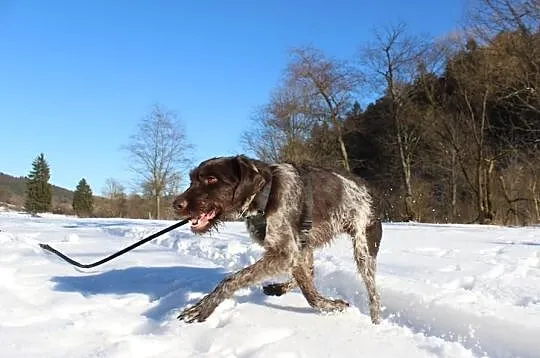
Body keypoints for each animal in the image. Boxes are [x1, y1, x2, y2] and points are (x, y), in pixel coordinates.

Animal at [171, 155, 382, 324]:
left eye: (211, 179)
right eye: (191, 180)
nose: (176, 204)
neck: (263, 193)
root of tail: (369, 188)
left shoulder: (285, 253)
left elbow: (231, 279)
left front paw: (203, 307)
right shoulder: (290, 251)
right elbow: (308, 289)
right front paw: (331, 305)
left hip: (363, 249)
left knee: (374, 296)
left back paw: (375, 324)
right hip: (305, 245)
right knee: (310, 272)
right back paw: (279, 288)